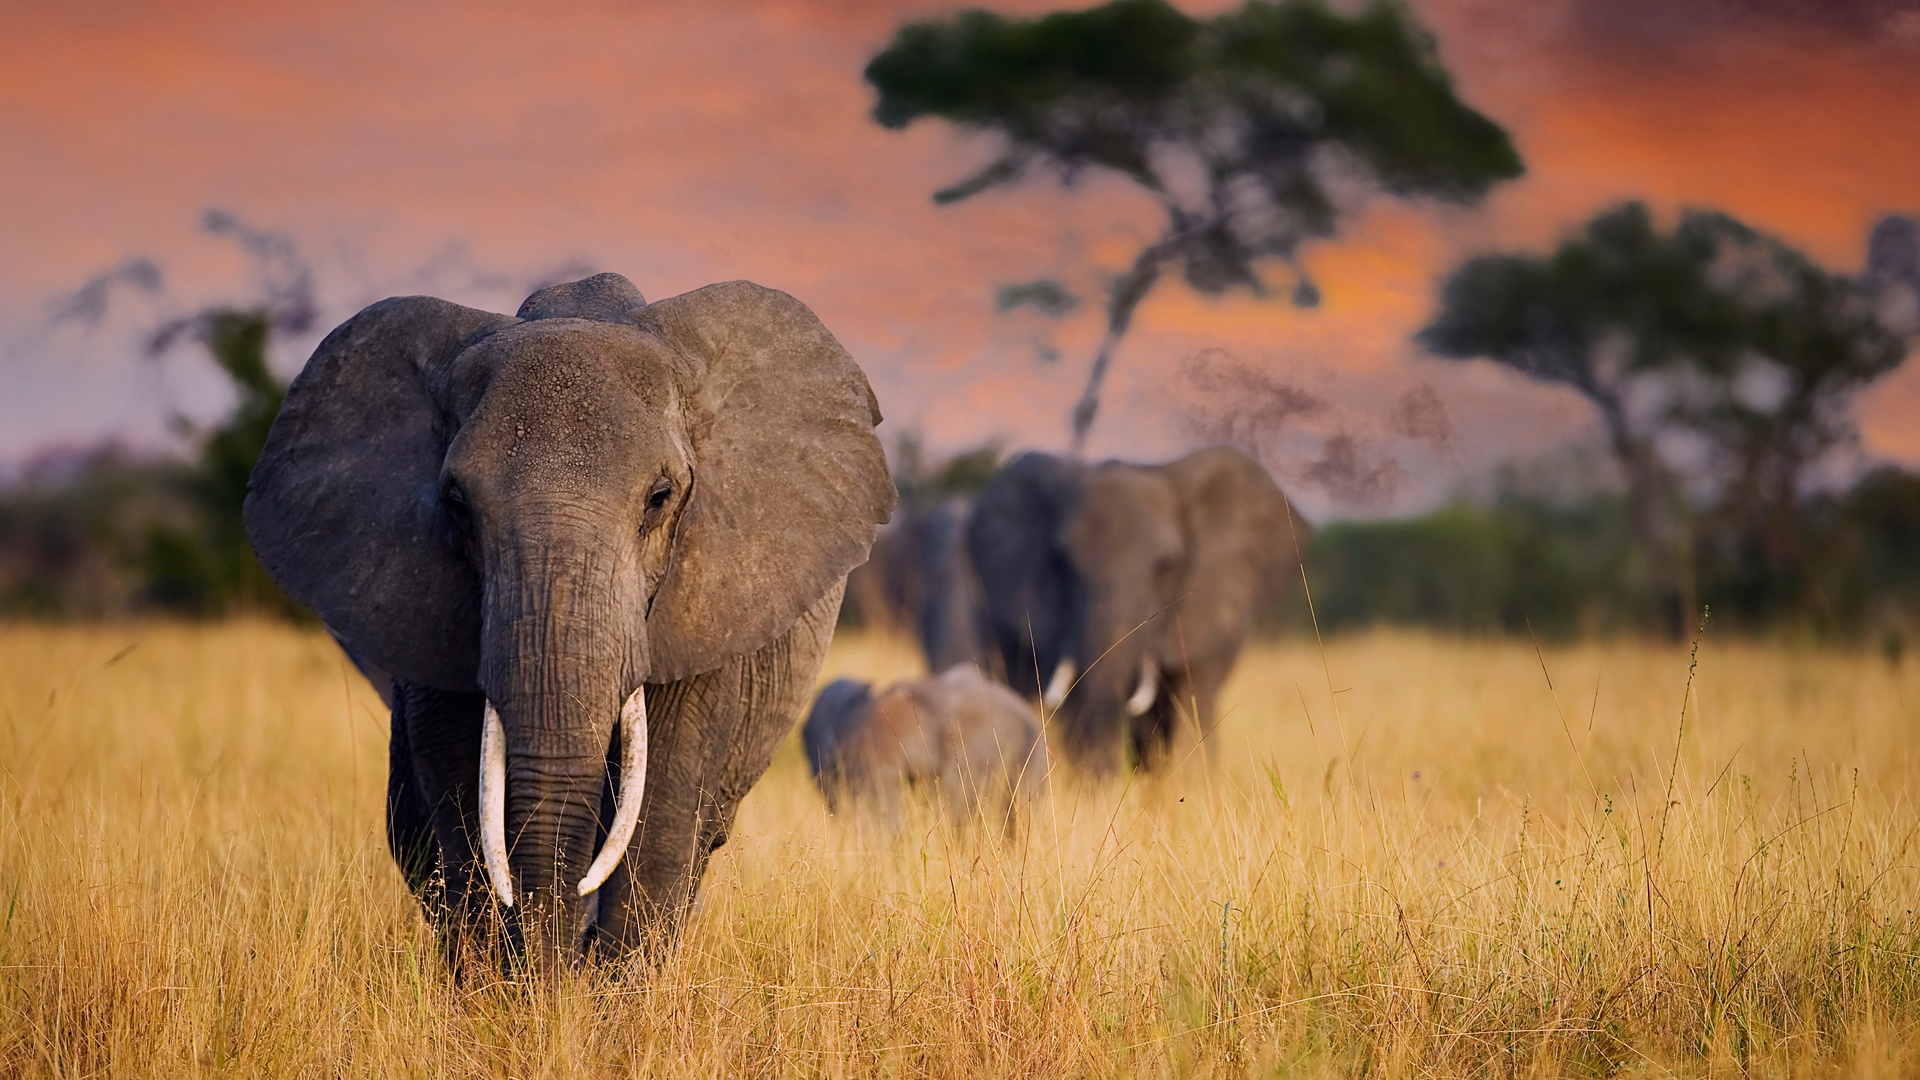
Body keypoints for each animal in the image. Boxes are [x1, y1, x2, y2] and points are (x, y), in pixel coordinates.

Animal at [243, 272, 895, 969]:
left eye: (660, 498)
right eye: (456, 504)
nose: (553, 973)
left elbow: (663, 811)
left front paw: (607, 994)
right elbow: (461, 792)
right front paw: (503, 988)